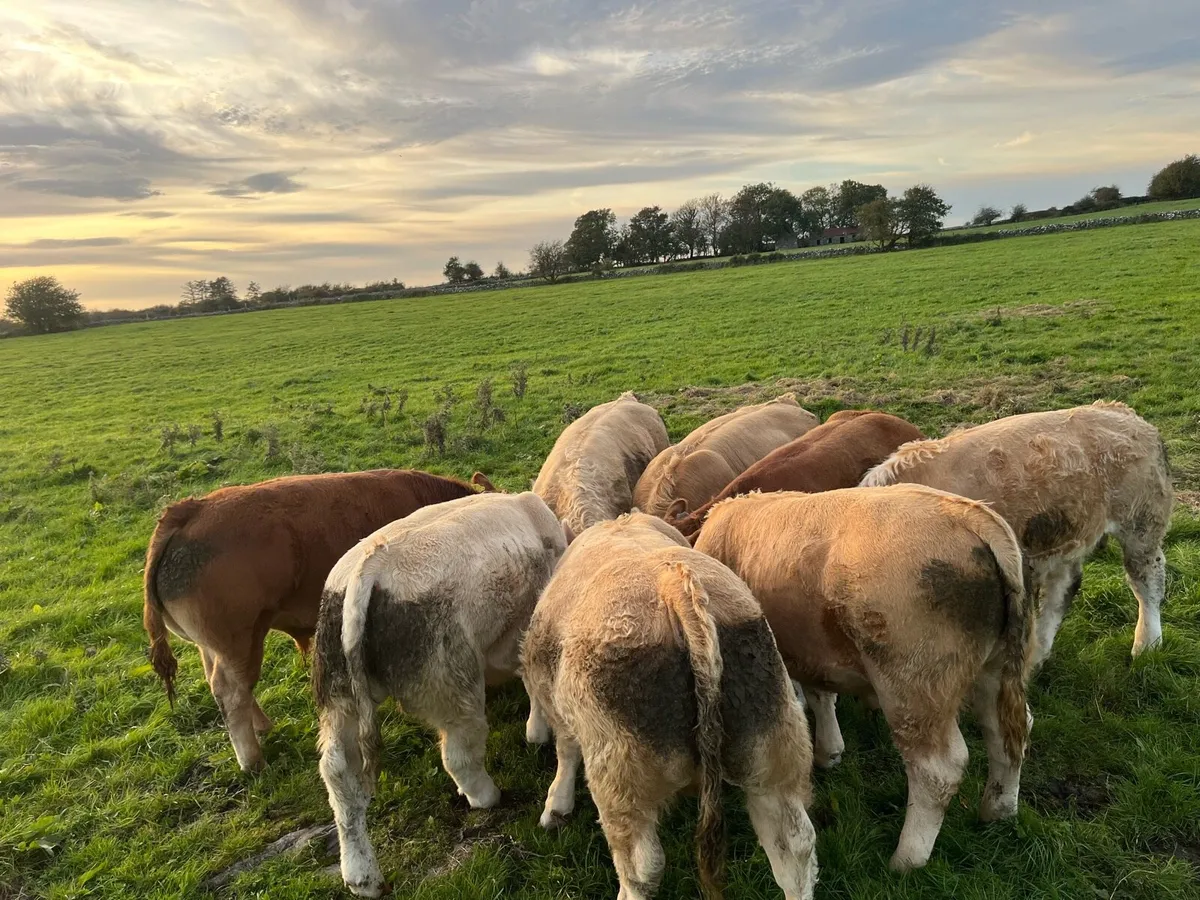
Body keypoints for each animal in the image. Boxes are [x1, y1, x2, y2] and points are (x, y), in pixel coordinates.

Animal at [142, 468, 493, 772]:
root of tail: (189, 511)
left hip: (218, 646)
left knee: (227, 683)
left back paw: (263, 726)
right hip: (237, 641)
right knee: (230, 691)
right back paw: (253, 761)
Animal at [313, 491, 570, 898]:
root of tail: (366, 573)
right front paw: (538, 730)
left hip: (337, 688)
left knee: (339, 772)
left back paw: (361, 875)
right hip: (450, 675)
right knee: (458, 755)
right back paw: (484, 795)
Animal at [522, 513, 818, 900]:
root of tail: (673, 586)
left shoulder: (552, 695)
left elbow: (566, 749)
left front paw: (556, 804)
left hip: (621, 774)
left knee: (642, 868)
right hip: (771, 743)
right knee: (794, 842)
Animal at [694, 486, 1034, 871]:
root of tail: (972, 516)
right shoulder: (813, 647)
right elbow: (821, 695)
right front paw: (829, 750)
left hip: (913, 684)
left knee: (938, 770)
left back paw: (907, 858)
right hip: (998, 666)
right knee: (1007, 733)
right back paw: (999, 810)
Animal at [861, 401, 1173, 665]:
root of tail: (1123, 413)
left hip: (1141, 522)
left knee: (1147, 580)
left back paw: (1146, 644)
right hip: (1067, 532)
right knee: (1062, 588)